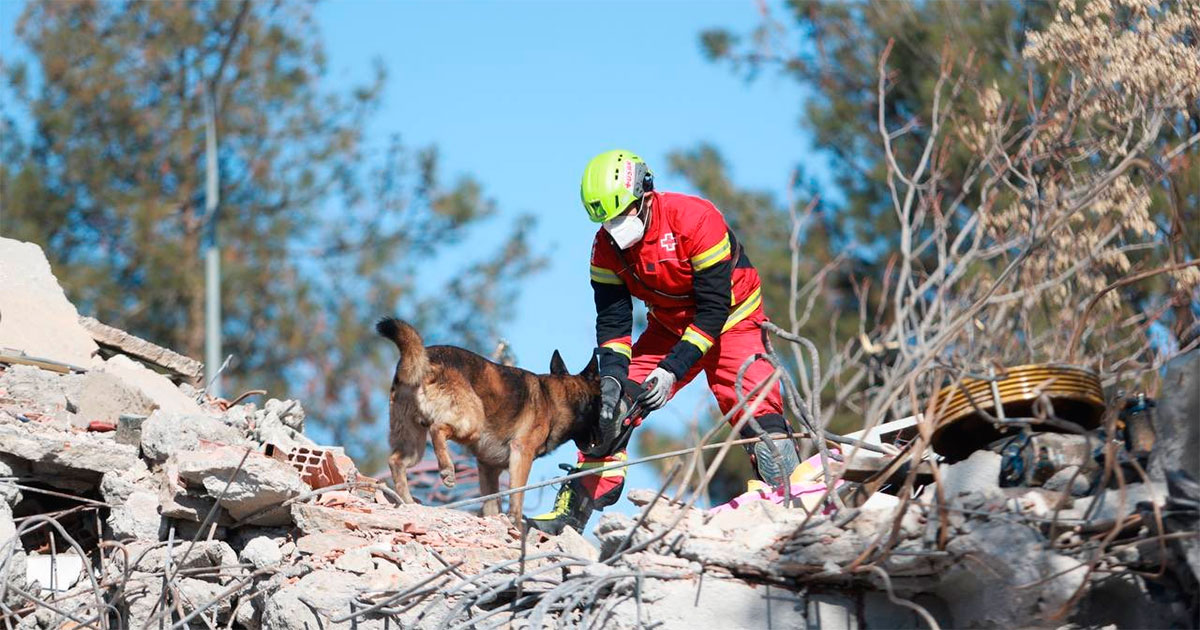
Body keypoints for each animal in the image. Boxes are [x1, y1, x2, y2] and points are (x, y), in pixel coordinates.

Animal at [374, 319, 600, 520]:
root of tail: (425, 358)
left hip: (414, 445)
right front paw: (515, 524)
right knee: (438, 428)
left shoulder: (488, 467)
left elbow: (492, 503)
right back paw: (447, 470)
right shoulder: (521, 453)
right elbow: (517, 497)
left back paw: (407, 502)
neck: (556, 397)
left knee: (396, 461)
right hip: (471, 423)